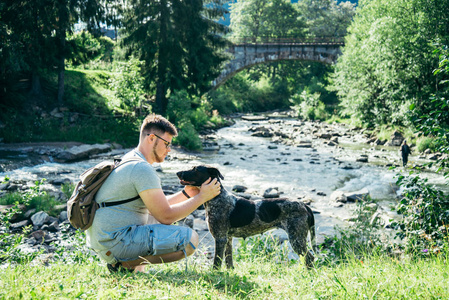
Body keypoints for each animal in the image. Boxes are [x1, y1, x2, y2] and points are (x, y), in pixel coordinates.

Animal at [177, 165, 316, 268]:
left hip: (296, 238)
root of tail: (305, 205)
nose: (178, 173)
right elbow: (229, 262)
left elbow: (217, 263)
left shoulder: (220, 238)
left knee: (309, 258)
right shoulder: (228, 239)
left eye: (195, 169)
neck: (217, 197)